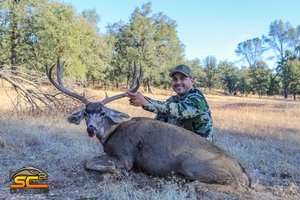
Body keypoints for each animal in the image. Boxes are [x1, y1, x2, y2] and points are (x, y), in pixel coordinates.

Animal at [45, 58, 252, 194]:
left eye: (103, 113)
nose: (91, 129)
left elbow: (88, 162)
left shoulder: (125, 156)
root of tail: (242, 171)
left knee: (233, 186)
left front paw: (120, 173)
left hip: (191, 163)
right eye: (85, 113)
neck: (112, 133)